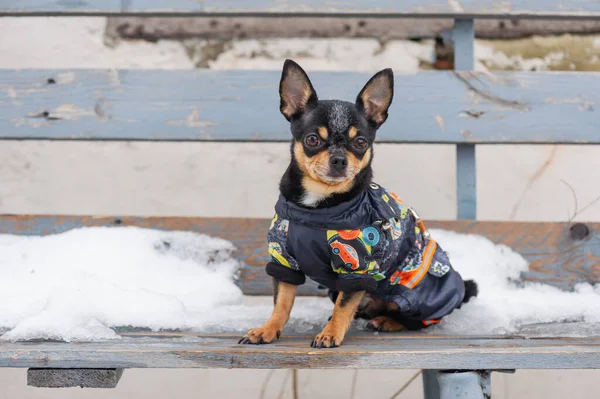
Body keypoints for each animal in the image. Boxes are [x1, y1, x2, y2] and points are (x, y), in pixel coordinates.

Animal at [239, 60, 478, 350]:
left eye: (360, 142)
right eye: (312, 139)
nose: (339, 159)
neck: (318, 207)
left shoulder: (358, 268)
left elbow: (344, 306)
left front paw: (330, 333)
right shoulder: (284, 258)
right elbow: (282, 303)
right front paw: (268, 329)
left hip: (414, 290)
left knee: (414, 319)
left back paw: (386, 321)